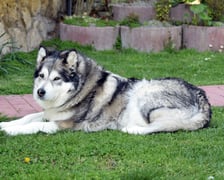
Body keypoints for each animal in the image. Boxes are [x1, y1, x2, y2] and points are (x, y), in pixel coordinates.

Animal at [0, 46, 211, 135]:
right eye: (41, 76)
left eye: (56, 79)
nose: (40, 92)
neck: (80, 91)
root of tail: (204, 100)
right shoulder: (50, 113)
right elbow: (29, 117)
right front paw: (5, 124)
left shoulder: (65, 125)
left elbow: (36, 125)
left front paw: (12, 131)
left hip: (143, 94)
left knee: (161, 126)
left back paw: (130, 129)